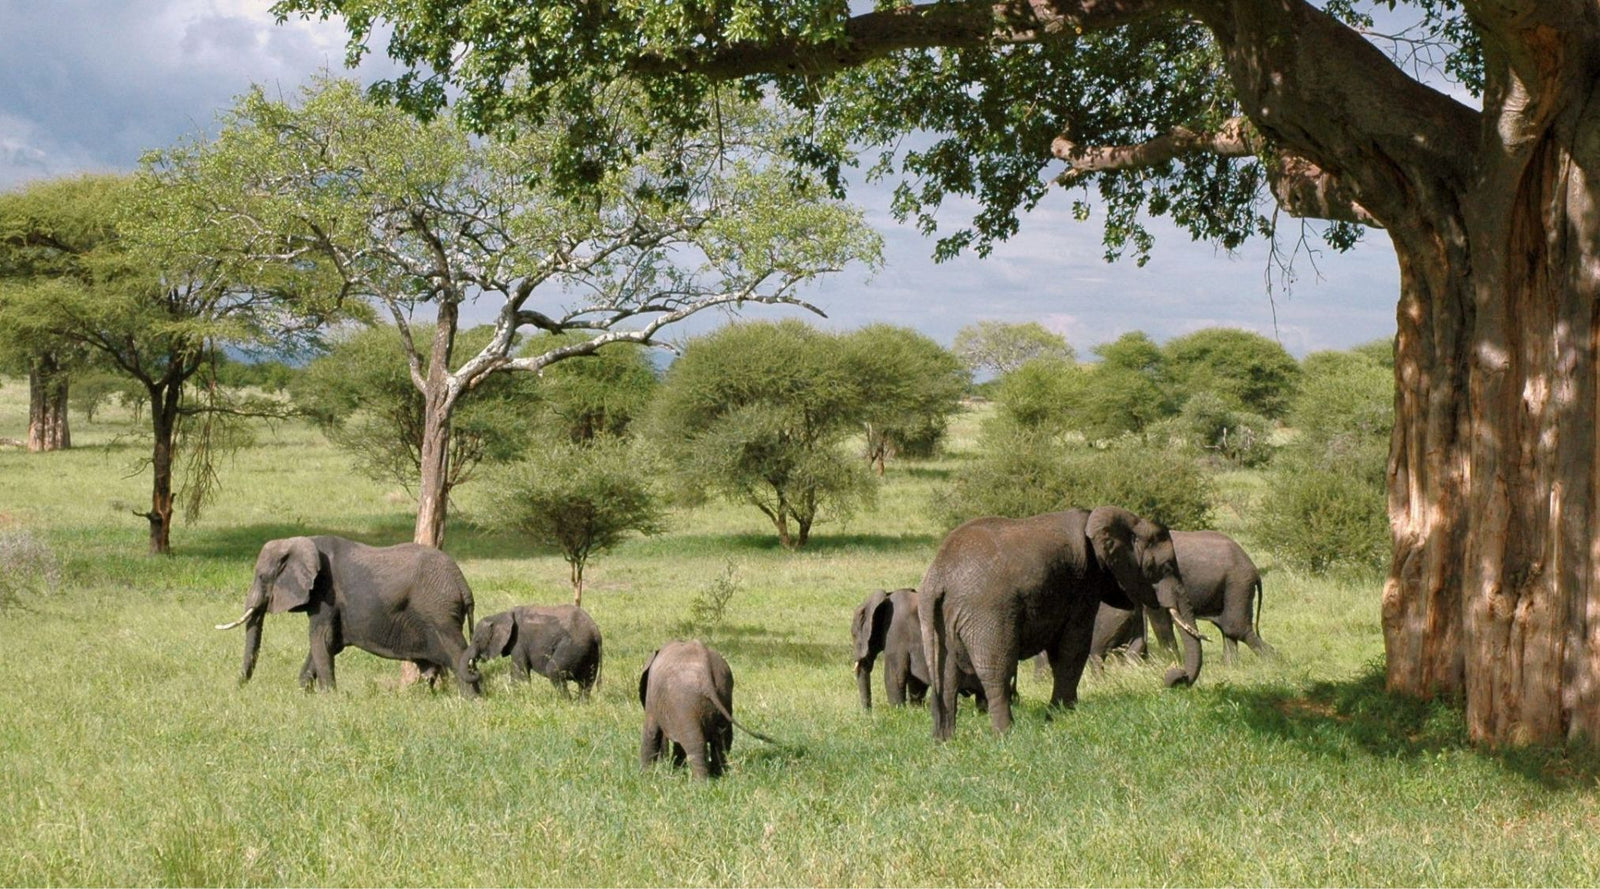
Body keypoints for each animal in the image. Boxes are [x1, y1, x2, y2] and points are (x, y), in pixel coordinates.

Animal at [215, 535, 481, 697]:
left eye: (262, 577)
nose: (238, 688)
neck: (301, 541)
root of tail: (463, 584)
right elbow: (327, 643)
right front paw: (304, 693)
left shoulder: (326, 594)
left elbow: (321, 639)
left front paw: (328, 697)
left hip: (439, 612)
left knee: (457, 652)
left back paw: (471, 699)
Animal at [465, 604, 603, 698]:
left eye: (477, 640)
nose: (473, 668)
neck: (501, 615)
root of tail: (595, 631)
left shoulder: (519, 642)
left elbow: (519, 673)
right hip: (590, 651)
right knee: (587, 681)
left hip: (573, 646)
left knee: (553, 671)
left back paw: (566, 702)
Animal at [638, 640, 774, 779]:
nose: (663, 762)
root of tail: (706, 671)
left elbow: (651, 732)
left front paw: (645, 775)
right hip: (723, 693)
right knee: (723, 739)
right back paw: (720, 776)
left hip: (686, 703)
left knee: (695, 742)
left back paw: (701, 782)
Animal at [918, 506, 1205, 740]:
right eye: (1166, 567)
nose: (1175, 677)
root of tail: (938, 577)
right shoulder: (1083, 583)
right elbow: (1073, 647)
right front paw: (1061, 716)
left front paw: (1062, 713)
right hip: (987, 614)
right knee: (996, 669)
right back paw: (1006, 735)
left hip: (940, 618)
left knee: (947, 675)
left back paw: (945, 740)